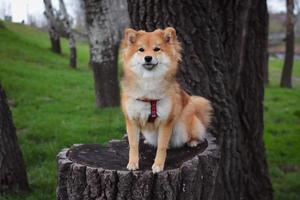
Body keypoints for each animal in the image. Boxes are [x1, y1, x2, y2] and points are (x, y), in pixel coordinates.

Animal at [120, 27, 213, 173]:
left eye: (157, 49)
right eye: (141, 49)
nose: (148, 57)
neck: (149, 83)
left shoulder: (165, 121)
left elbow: (162, 147)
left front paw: (158, 165)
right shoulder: (132, 120)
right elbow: (133, 144)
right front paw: (133, 163)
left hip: (183, 126)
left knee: (196, 133)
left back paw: (193, 142)